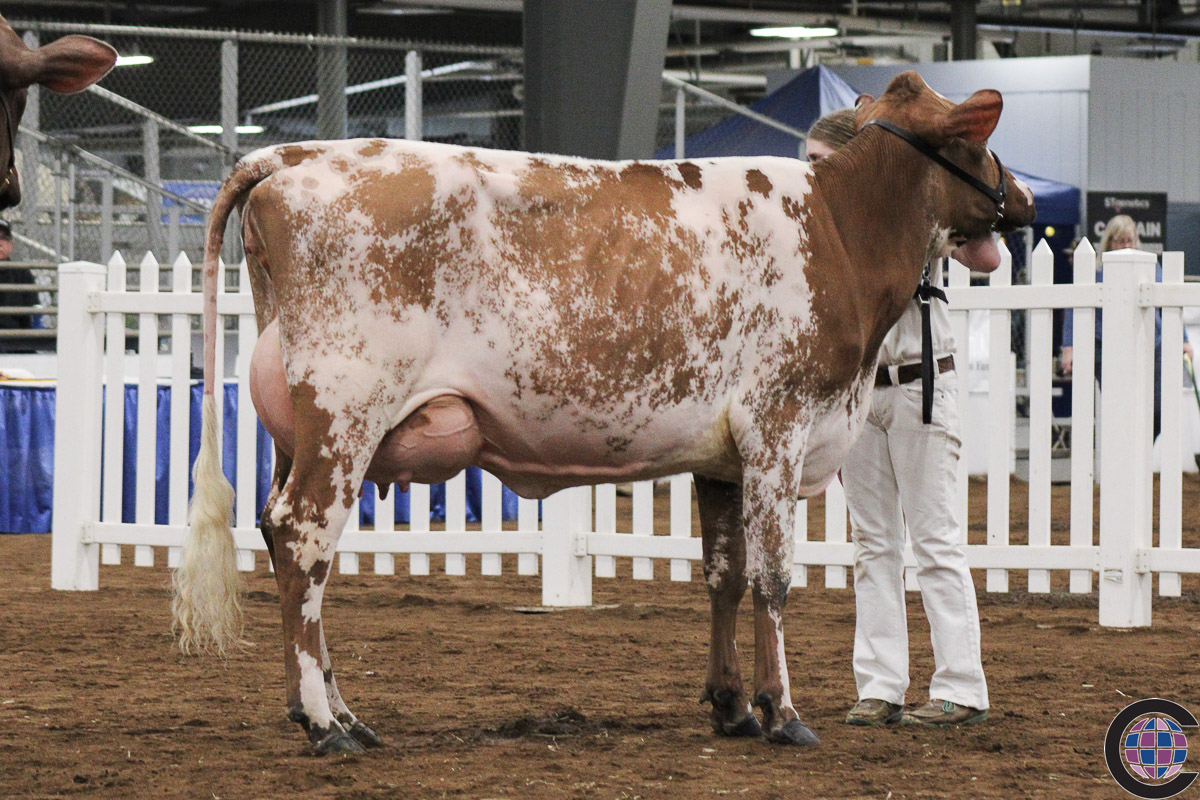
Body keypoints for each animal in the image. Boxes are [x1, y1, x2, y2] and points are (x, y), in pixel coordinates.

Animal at [172, 71, 1035, 755]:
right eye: (979, 134)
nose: (1025, 199)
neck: (839, 230)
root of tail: (292, 157)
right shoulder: (777, 427)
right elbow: (773, 578)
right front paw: (782, 712)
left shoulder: (723, 455)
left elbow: (723, 574)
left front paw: (730, 707)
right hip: (344, 413)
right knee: (305, 537)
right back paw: (324, 726)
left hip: (299, 427)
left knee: (283, 540)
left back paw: (342, 714)